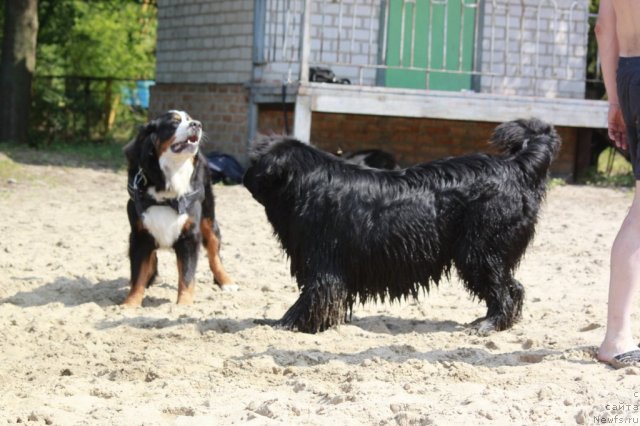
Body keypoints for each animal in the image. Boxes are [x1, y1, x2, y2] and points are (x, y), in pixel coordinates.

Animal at [122, 110, 238, 306]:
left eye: (190, 120)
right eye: (174, 123)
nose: (197, 124)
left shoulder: (189, 235)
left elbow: (187, 275)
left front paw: (183, 306)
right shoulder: (140, 235)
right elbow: (137, 275)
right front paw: (129, 305)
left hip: (208, 219)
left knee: (214, 254)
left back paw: (226, 281)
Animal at [245, 118, 560, 334]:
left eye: (255, 163)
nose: (245, 176)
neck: (306, 184)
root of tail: (515, 167)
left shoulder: (323, 263)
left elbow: (312, 298)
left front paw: (285, 324)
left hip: (480, 251)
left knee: (504, 289)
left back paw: (490, 324)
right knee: (515, 287)